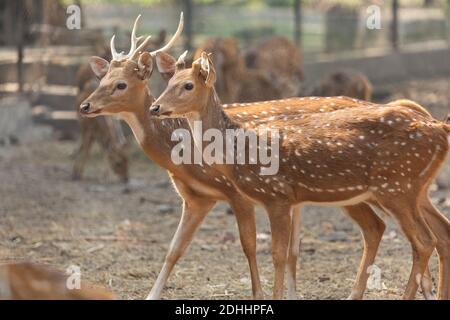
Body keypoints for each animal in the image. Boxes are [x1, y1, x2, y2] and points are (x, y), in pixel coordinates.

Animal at [149, 52, 450, 300]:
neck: (240, 150)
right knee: (436, 233)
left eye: (188, 85)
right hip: (411, 189)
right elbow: (286, 252)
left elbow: (278, 254)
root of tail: (439, 127)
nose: (155, 107)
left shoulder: (276, 196)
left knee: (424, 241)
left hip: (396, 186)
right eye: (168, 82)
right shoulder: (286, 200)